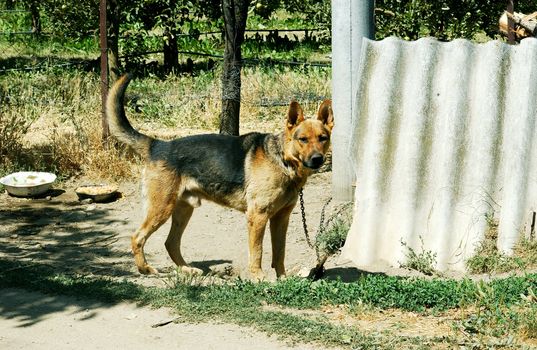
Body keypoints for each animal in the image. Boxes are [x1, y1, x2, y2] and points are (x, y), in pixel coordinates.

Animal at [106, 75, 332, 280]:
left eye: (323, 138)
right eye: (303, 139)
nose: (317, 159)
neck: (284, 160)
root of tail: (158, 144)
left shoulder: (281, 218)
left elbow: (279, 253)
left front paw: (282, 278)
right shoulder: (257, 216)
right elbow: (257, 252)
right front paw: (258, 277)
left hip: (182, 210)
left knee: (170, 243)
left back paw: (186, 270)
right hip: (161, 209)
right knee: (138, 237)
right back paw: (145, 269)